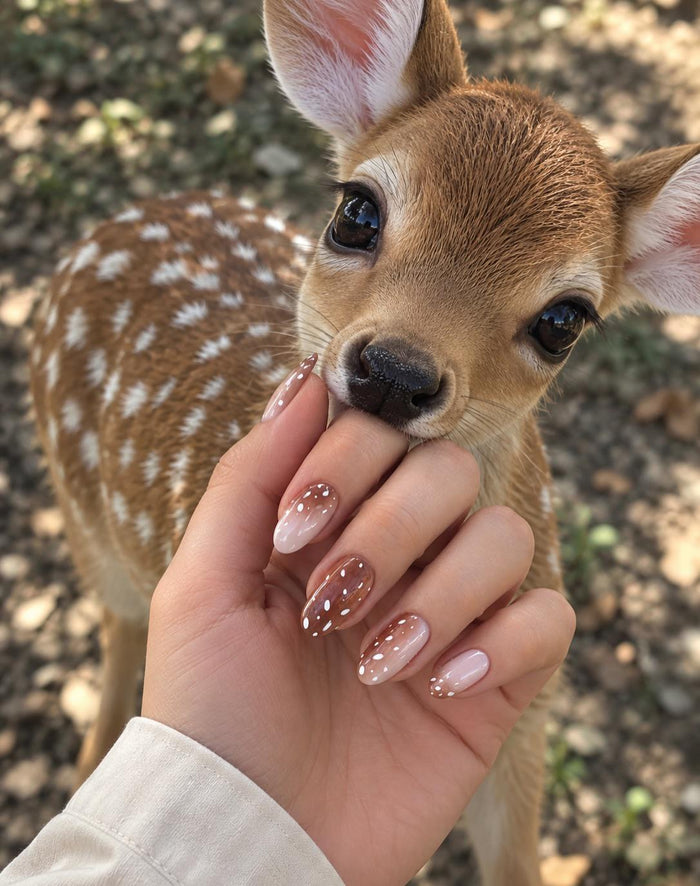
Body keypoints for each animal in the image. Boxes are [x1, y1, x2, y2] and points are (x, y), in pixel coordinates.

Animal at [28, 1, 700, 884]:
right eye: (356, 211)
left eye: (565, 320)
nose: (393, 371)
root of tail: (128, 215)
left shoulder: (527, 715)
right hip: (83, 519)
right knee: (119, 629)